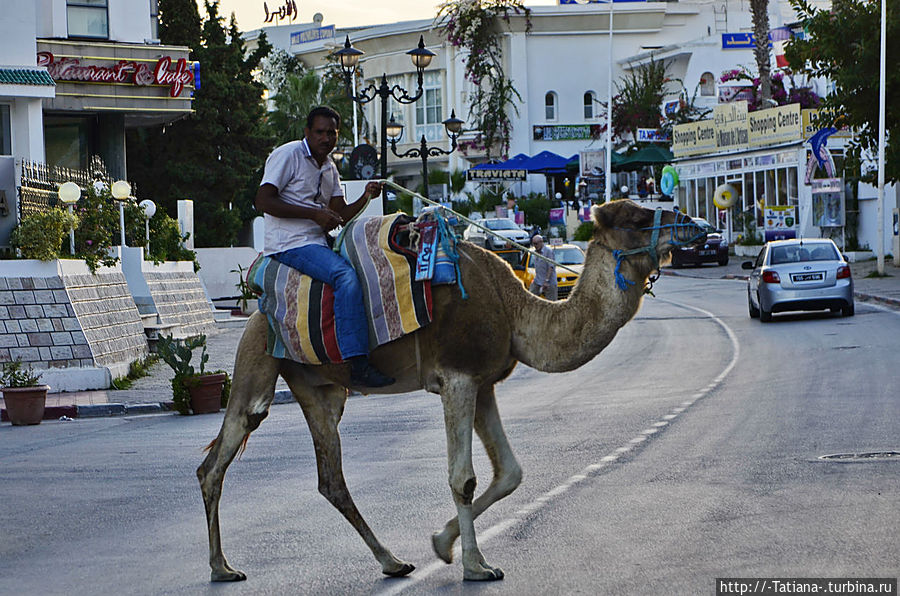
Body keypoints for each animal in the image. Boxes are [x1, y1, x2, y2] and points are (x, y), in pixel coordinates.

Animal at [199, 200, 712, 584]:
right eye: (639, 218)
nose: (699, 225)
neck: (514, 310)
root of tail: (255, 302)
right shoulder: (458, 378)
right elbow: (463, 478)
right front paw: (475, 567)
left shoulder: (484, 383)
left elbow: (511, 473)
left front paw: (442, 545)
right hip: (258, 359)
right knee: (220, 457)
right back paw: (223, 568)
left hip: (320, 388)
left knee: (331, 478)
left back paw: (392, 561)